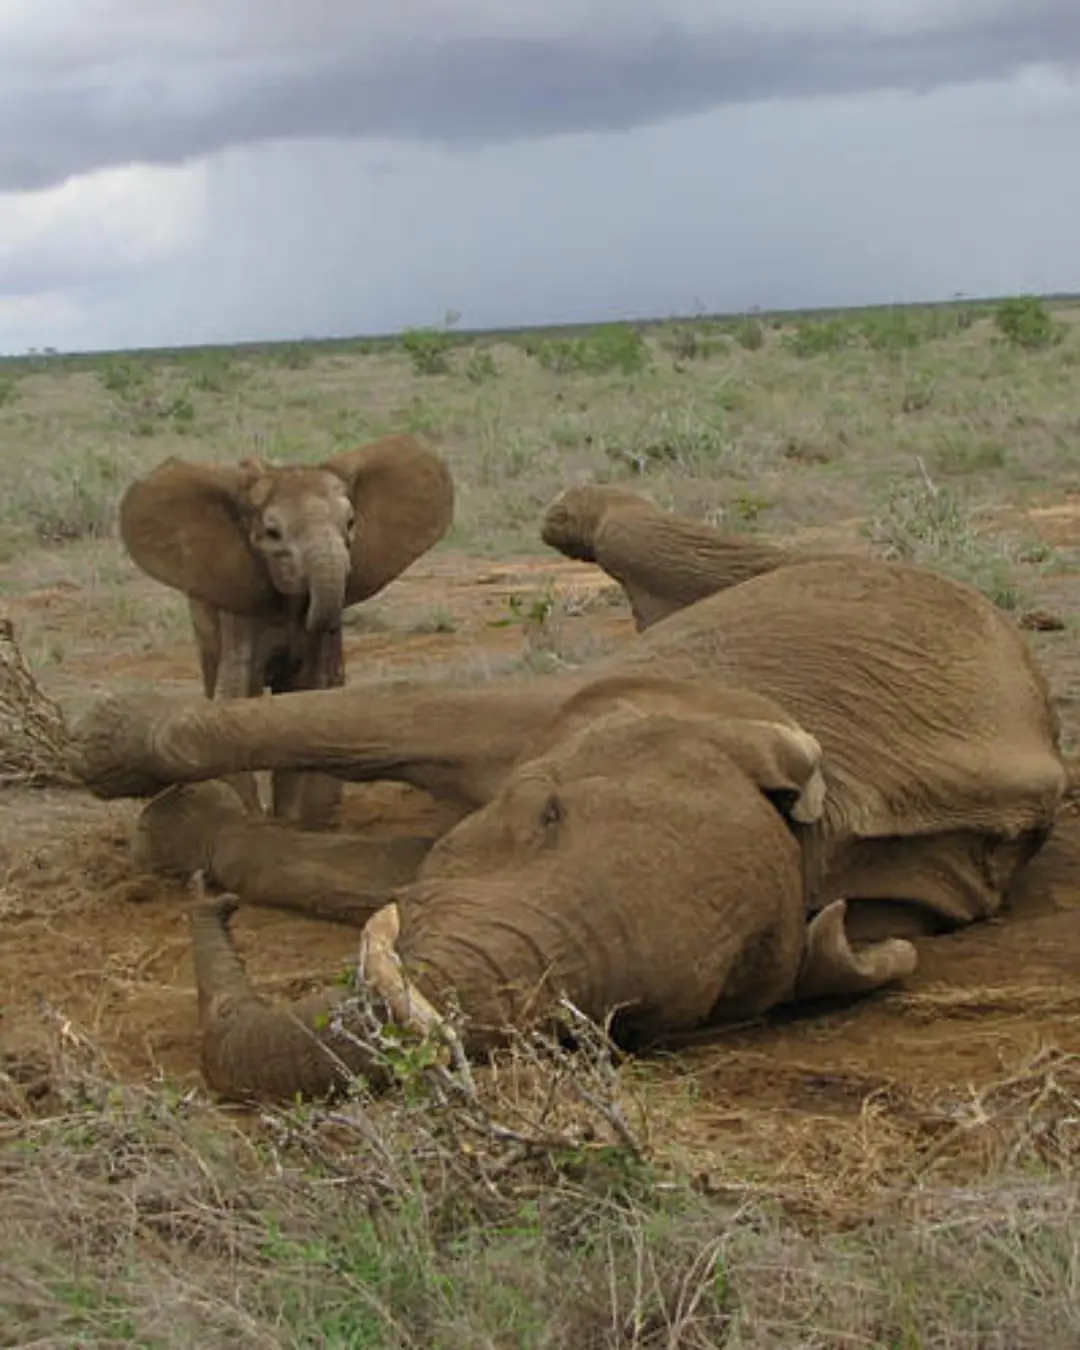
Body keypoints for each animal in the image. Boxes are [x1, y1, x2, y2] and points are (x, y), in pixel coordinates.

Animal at [71, 491, 1068, 1103]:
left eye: (634, 1019)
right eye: (546, 815)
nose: (215, 910)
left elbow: (381, 873)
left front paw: (180, 831)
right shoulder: (598, 698)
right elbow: (392, 717)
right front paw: (104, 747)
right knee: (646, 542)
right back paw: (577, 514)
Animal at [118, 433, 454, 827]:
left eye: (351, 522)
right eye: (272, 533)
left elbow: (306, 696)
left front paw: (292, 821)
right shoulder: (239, 609)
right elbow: (236, 696)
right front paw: (250, 818)